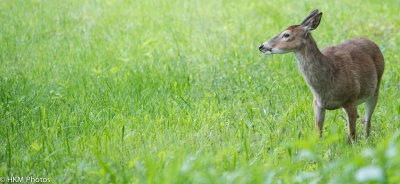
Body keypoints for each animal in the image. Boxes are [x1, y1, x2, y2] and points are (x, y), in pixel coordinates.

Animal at [260, 9, 384, 143]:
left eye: (286, 35)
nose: (261, 46)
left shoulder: (350, 98)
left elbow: (352, 135)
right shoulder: (317, 103)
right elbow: (318, 133)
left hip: (375, 90)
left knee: (367, 121)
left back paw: (366, 141)